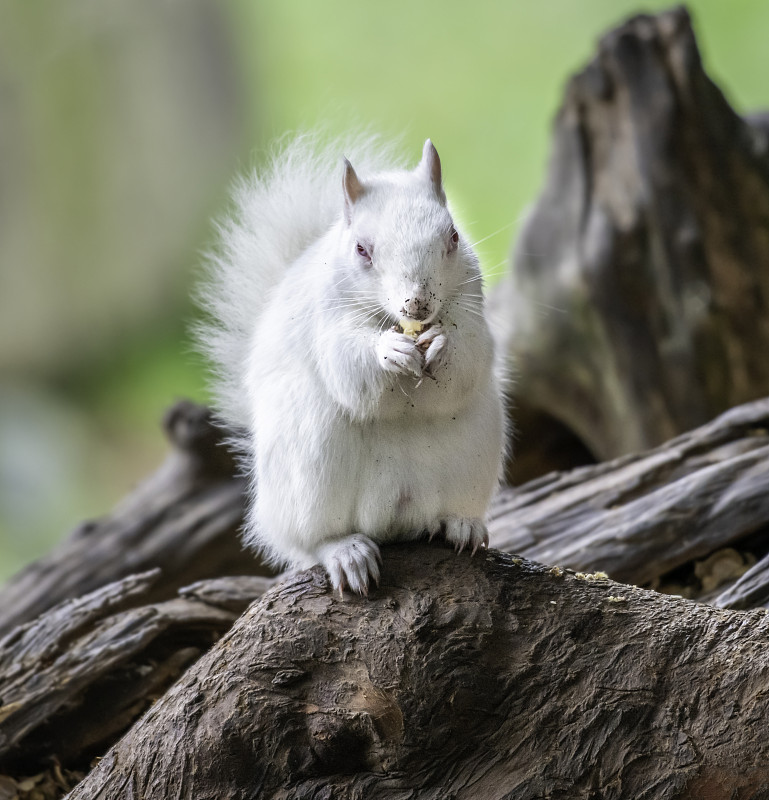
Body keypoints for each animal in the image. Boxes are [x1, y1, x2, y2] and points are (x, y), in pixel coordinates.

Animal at [200, 134, 504, 592]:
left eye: (452, 236)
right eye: (362, 249)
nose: (418, 304)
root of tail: (396, 519)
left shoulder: (471, 306)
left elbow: (471, 357)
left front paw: (442, 344)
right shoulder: (326, 321)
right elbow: (345, 365)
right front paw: (389, 352)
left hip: (474, 454)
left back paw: (461, 525)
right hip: (311, 465)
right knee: (311, 541)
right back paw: (345, 552)